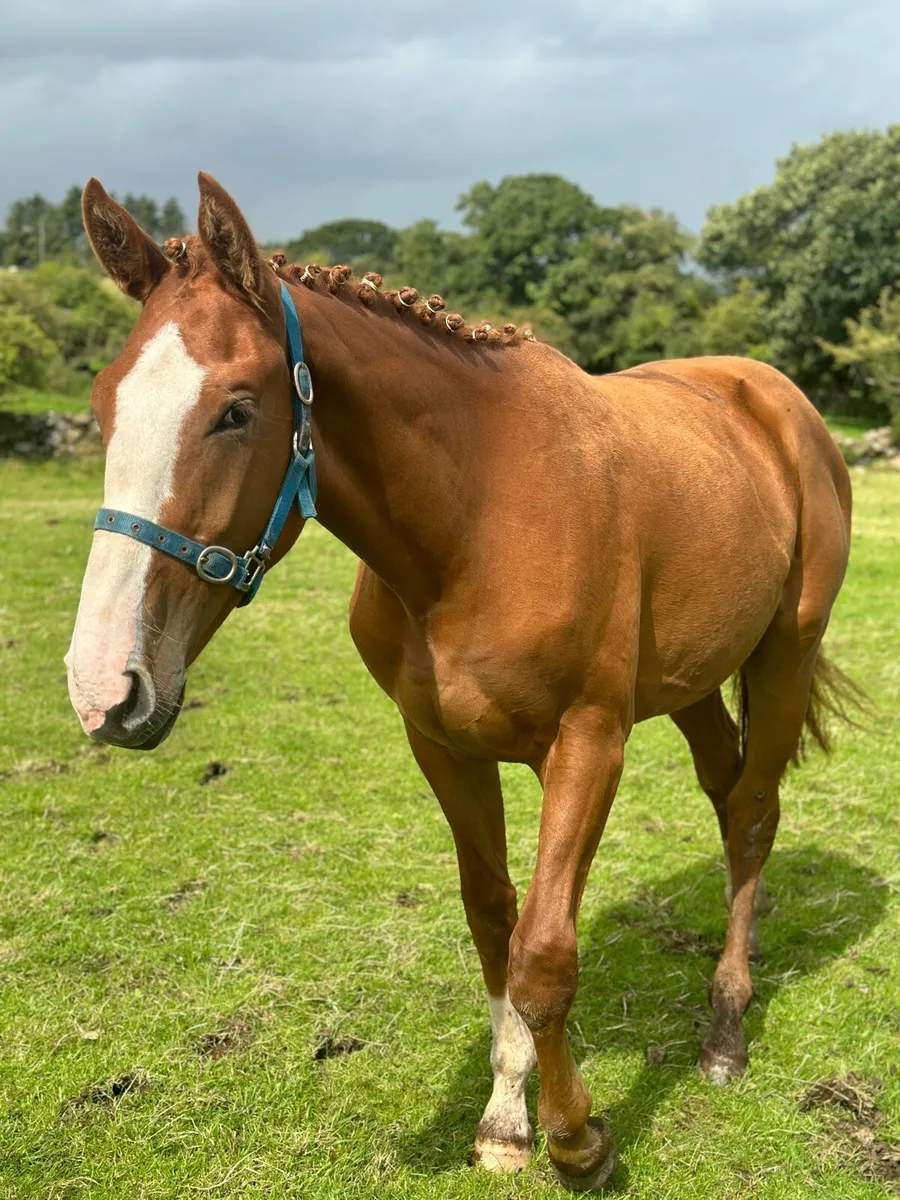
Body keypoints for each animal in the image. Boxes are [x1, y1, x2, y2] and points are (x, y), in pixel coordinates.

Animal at [66, 173, 857, 1191]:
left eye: (236, 409)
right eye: (103, 402)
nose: (103, 688)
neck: (476, 518)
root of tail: (775, 400)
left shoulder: (589, 743)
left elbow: (545, 954)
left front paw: (578, 1138)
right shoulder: (442, 747)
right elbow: (494, 923)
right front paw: (505, 1122)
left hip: (784, 653)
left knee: (755, 813)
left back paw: (725, 1028)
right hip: (691, 683)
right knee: (728, 795)